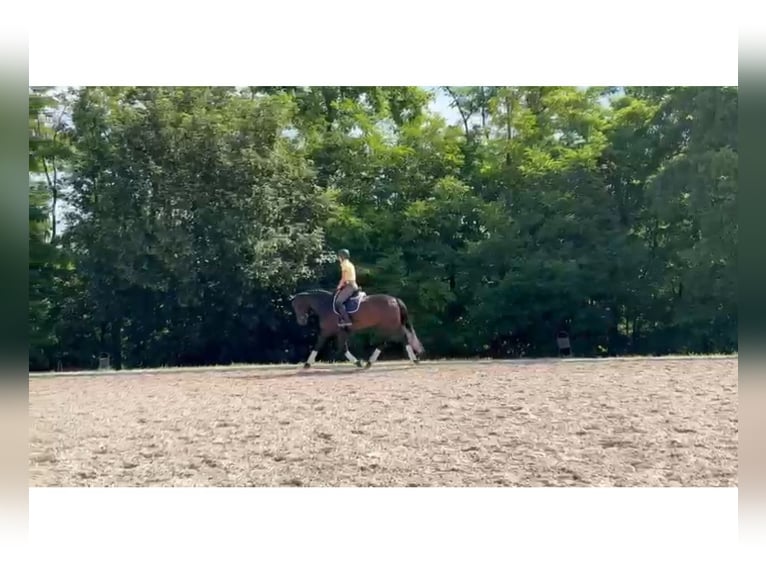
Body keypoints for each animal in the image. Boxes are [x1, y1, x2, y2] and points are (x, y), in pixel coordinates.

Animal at [292, 290, 428, 372]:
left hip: (391, 326)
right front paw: (358, 362)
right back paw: (369, 363)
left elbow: (319, 346)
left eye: (297, 306)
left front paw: (307, 364)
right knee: (388, 342)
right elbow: (341, 348)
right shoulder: (340, 333)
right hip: (387, 327)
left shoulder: (327, 332)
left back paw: (414, 360)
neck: (325, 305)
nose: (301, 321)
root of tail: (394, 299)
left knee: (402, 339)